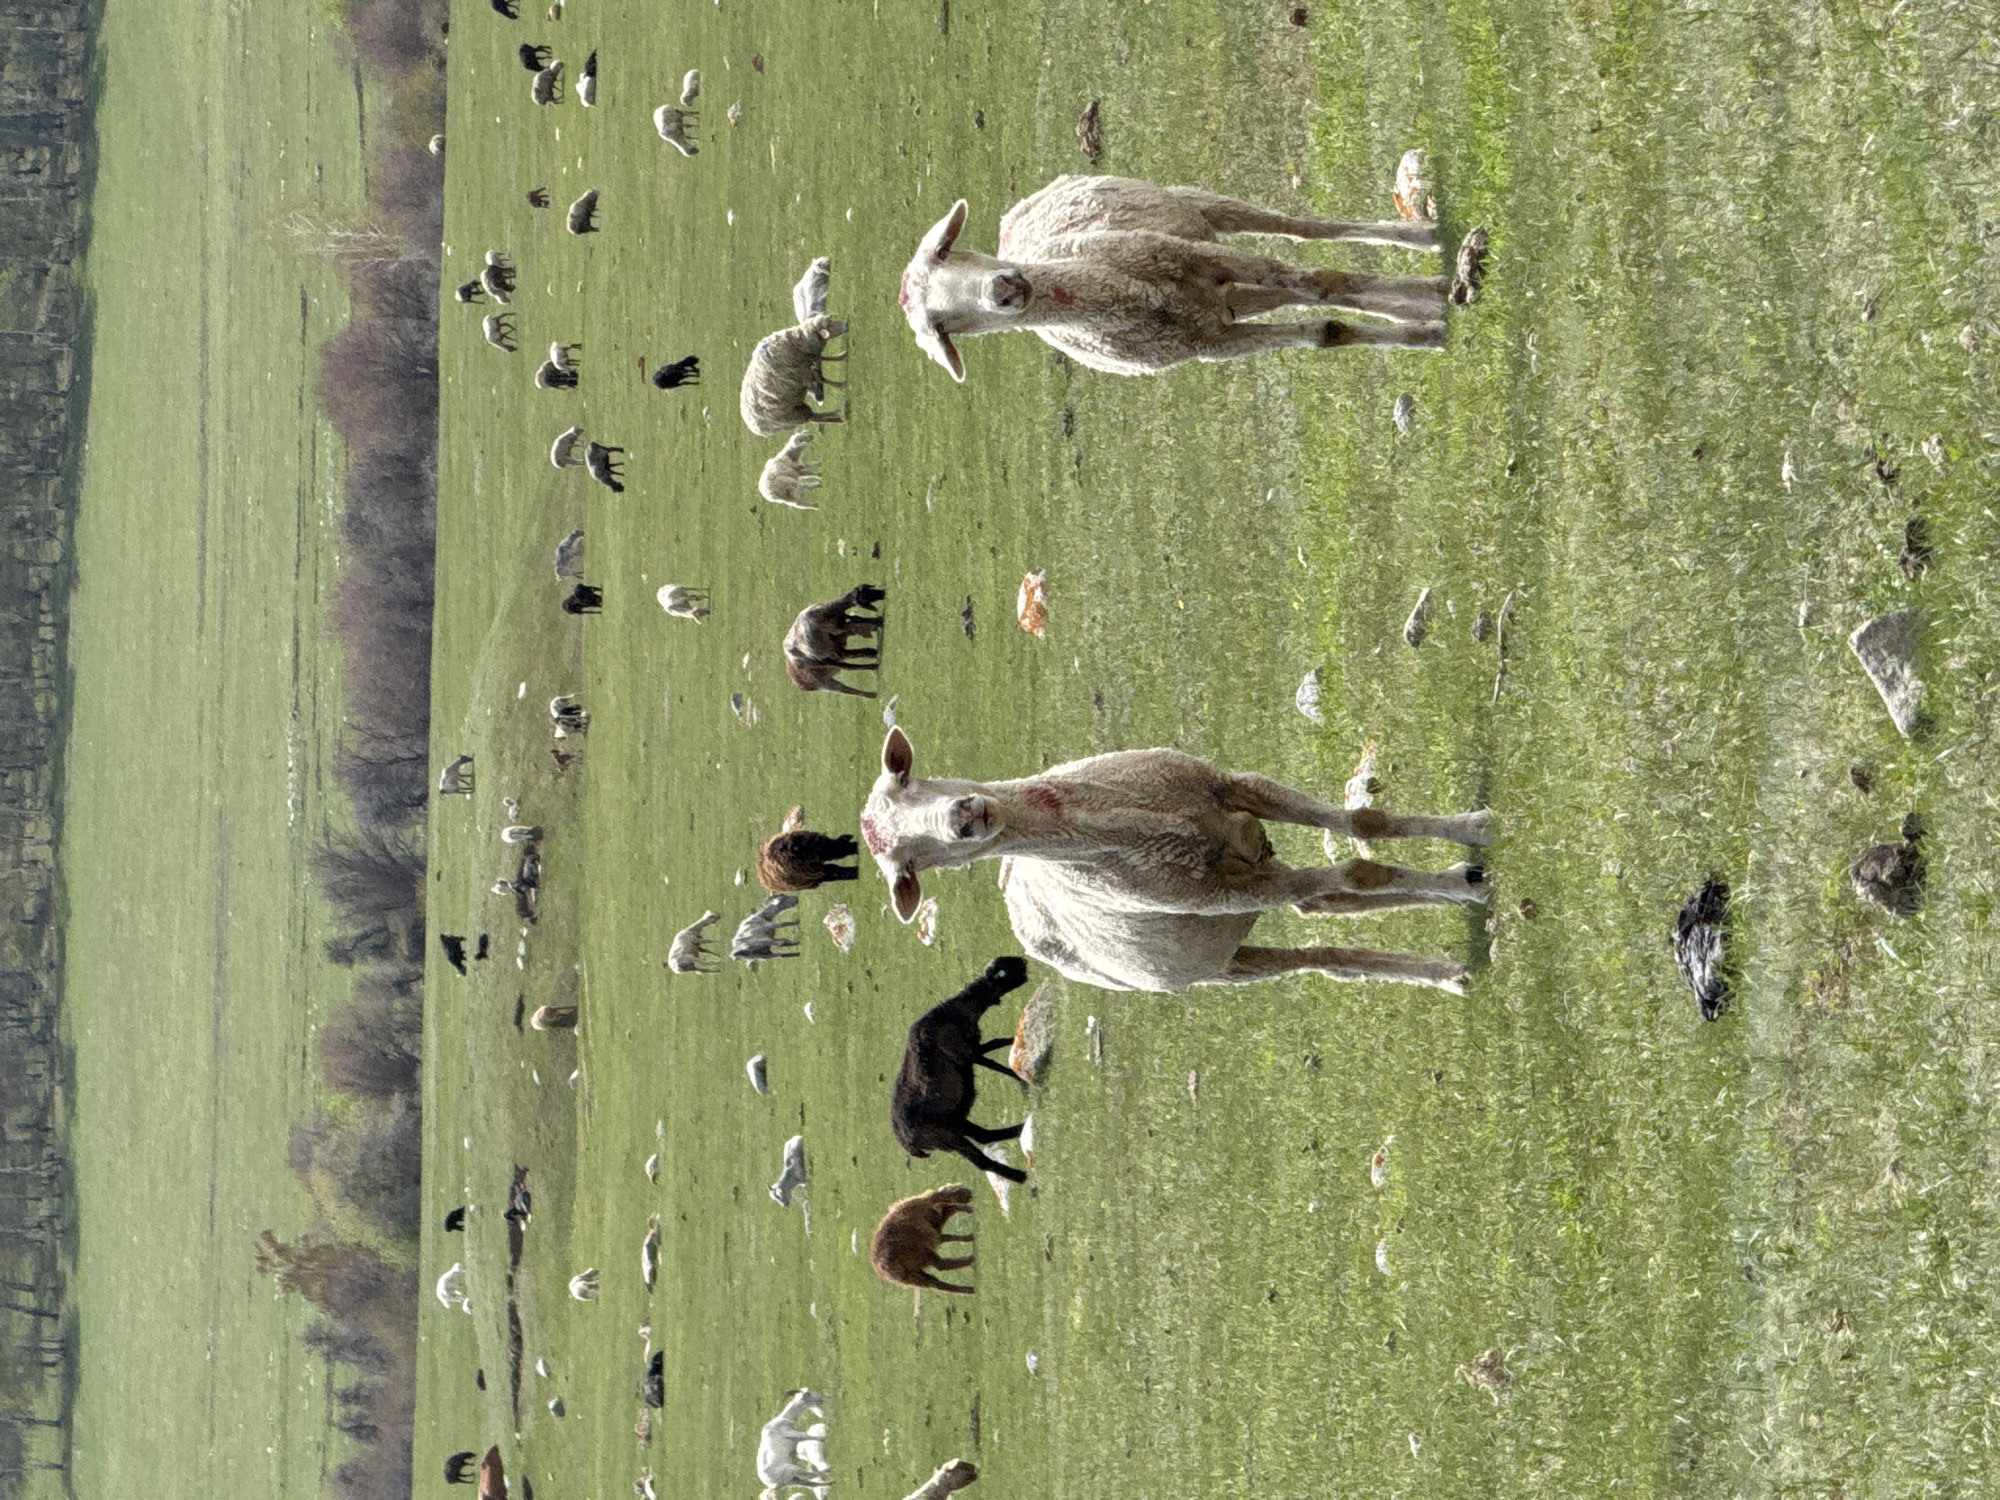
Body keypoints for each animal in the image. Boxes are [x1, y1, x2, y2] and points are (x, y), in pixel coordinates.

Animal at [860, 727, 1492, 992]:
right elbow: (1360, 871)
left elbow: (1363, 825)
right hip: (1219, 962)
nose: (963, 817)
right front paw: (1469, 886)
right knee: (1322, 950)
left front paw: (1474, 828)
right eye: (906, 867)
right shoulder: (1214, 896)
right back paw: (1445, 967)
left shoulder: (1230, 785)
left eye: (906, 778)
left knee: (1321, 905)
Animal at [891, 956, 1030, 1182]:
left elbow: (996, 1044)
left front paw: (1017, 1043)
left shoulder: (972, 1049)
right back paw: (1020, 1176)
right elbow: (995, 1061)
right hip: (944, 1136)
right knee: (982, 1162)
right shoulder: (963, 1053)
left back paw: (1019, 1129)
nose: (1024, 961)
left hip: (952, 1122)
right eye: (1006, 970)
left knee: (984, 1135)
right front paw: (1022, 1081)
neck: (957, 1010)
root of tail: (908, 1145)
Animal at [897, 175, 1477, 380]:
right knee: (1278, 292)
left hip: (1199, 209)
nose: (1001, 289)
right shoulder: (1216, 342)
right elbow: (1324, 330)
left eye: (947, 250)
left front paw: (1431, 314)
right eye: (940, 327)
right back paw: (1414, 300)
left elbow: (1322, 281)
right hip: (1229, 299)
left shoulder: (1200, 257)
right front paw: (1424, 326)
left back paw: (1423, 243)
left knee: (1305, 233)